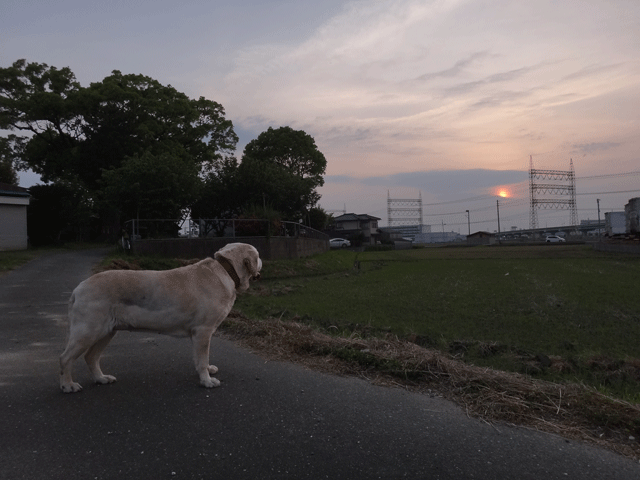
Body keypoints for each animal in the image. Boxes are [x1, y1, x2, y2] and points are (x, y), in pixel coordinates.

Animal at [59, 242, 260, 392]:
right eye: (258, 256)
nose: (261, 262)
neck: (227, 271)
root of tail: (78, 288)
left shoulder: (197, 334)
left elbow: (200, 358)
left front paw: (207, 371)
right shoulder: (203, 331)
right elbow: (203, 358)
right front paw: (207, 380)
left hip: (106, 332)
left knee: (91, 357)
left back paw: (101, 378)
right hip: (88, 332)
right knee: (65, 358)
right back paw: (68, 385)